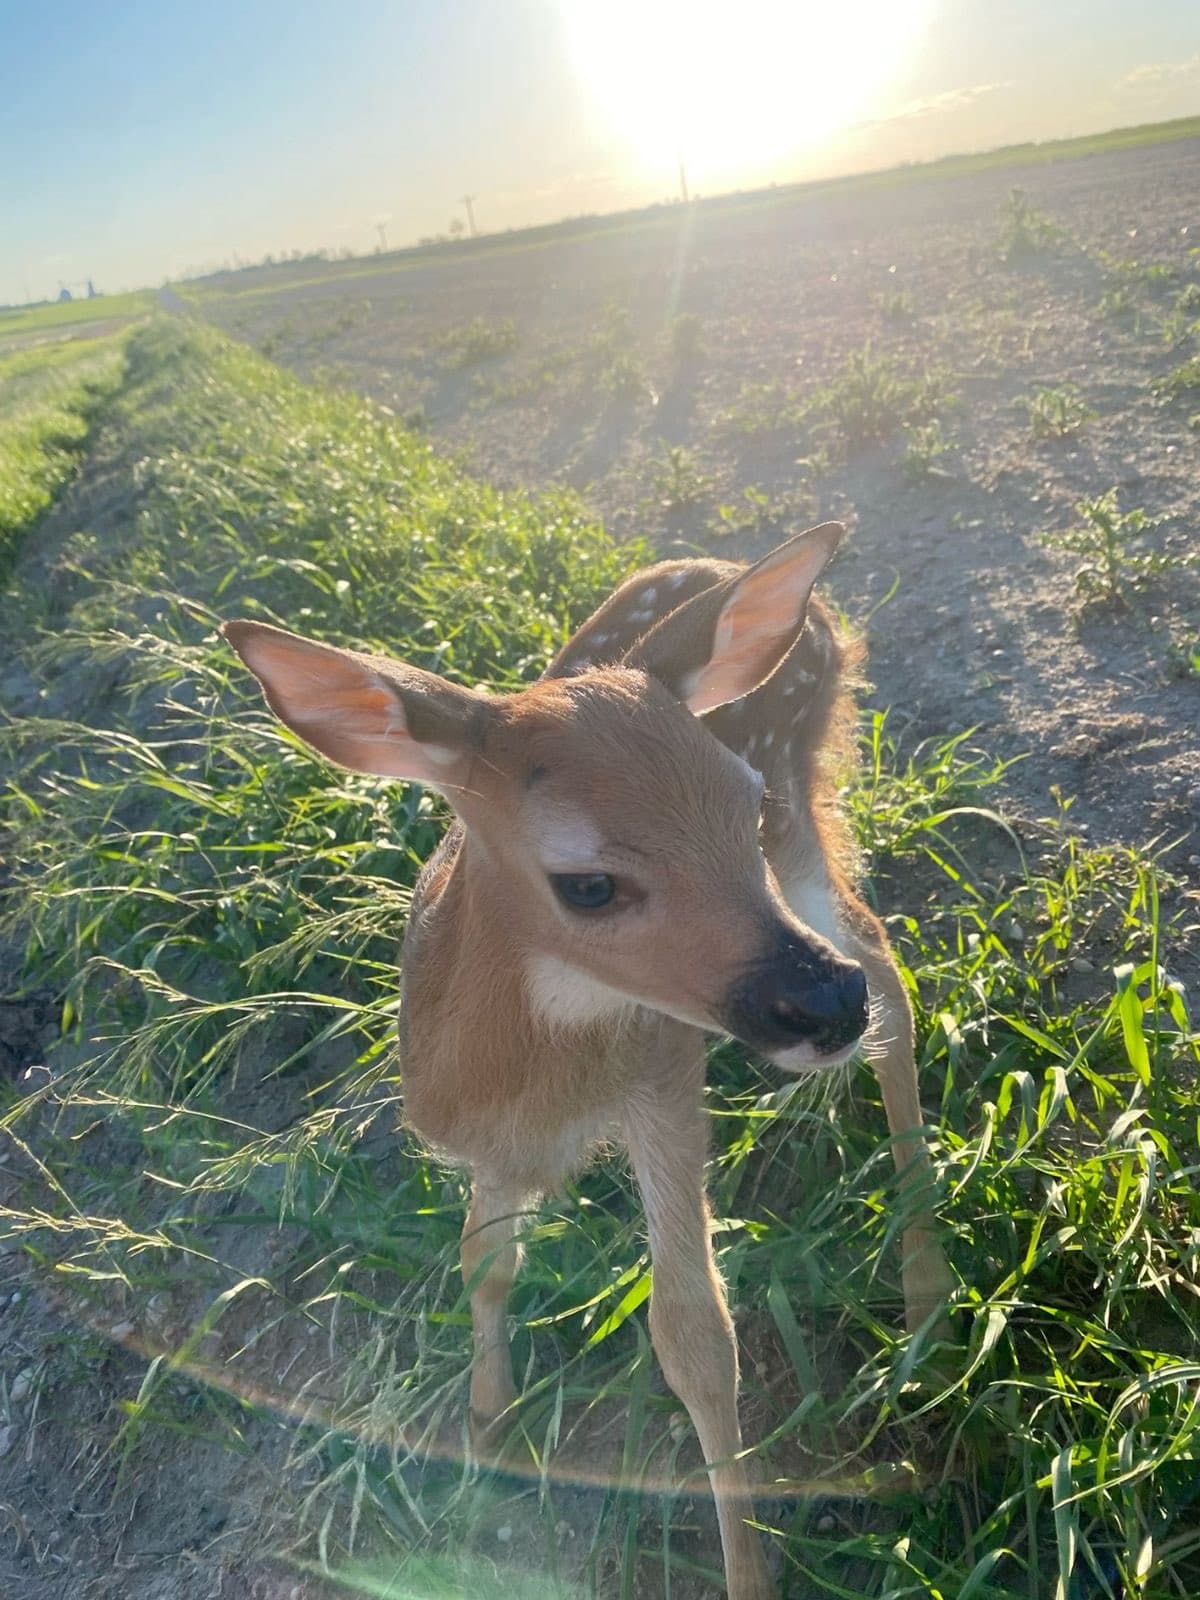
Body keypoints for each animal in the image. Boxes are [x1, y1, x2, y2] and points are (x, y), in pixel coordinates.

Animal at [223, 520, 955, 1600]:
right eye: (589, 884)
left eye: (740, 805)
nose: (822, 1008)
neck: (533, 1087)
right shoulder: (491, 1142)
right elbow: (483, 1261)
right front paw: (486, 1419)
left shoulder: (664, 1078)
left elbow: (695, 1338)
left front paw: (747, 1571)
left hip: (804, 822)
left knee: (889, 971)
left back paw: (924, 1291)